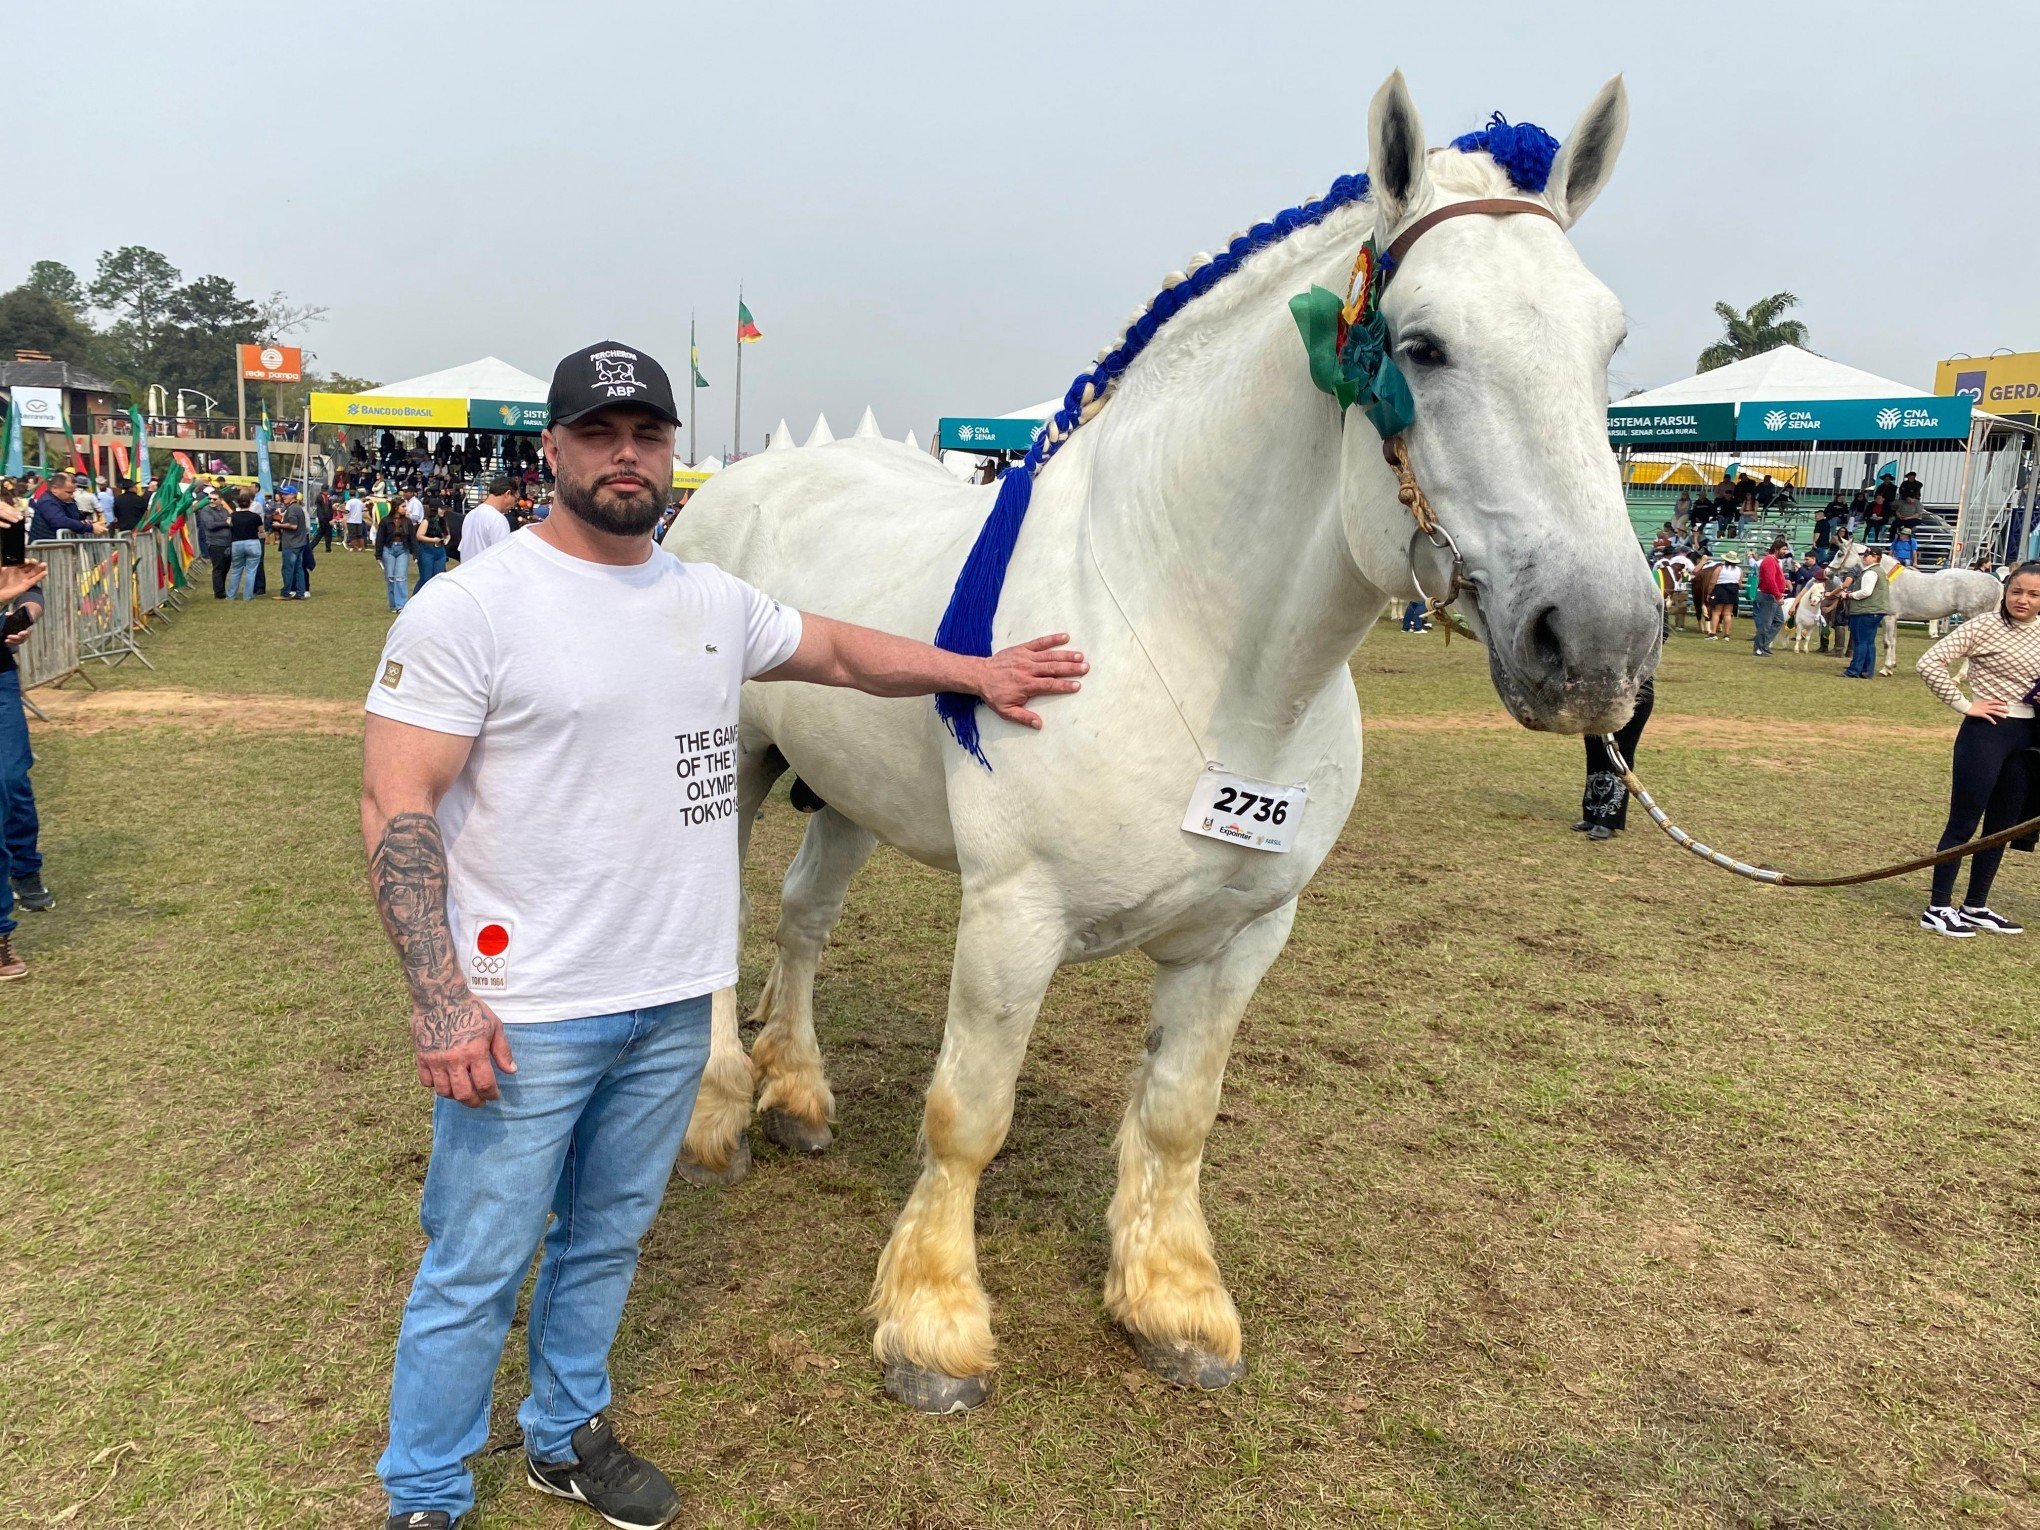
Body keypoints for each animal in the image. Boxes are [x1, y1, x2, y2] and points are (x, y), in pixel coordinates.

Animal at [665, 68, 1656, 1411]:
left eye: (1608, 344)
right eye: (1421, 345)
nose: (1600, 644)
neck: (1199, 650)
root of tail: (735, 484)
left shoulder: (1247, 931)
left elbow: (1180, 1113)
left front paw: (1174, 1302)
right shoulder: (1014, 915)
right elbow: (968, 1112)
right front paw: (932, 1324)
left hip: (852, 795)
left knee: (804, 920)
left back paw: (801, 1092)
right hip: (735, 776)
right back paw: (720, 1111)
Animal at [1836, 542, 2007, 681]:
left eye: (1839, 554)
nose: (1829, 572)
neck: (1887, 577)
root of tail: (1995, 582)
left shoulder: (1889, 617)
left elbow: (1887, 642)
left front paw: (1886, 668)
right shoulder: (1895, 618)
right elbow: (1894, 641)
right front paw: (1892, 666)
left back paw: (1959, 677)